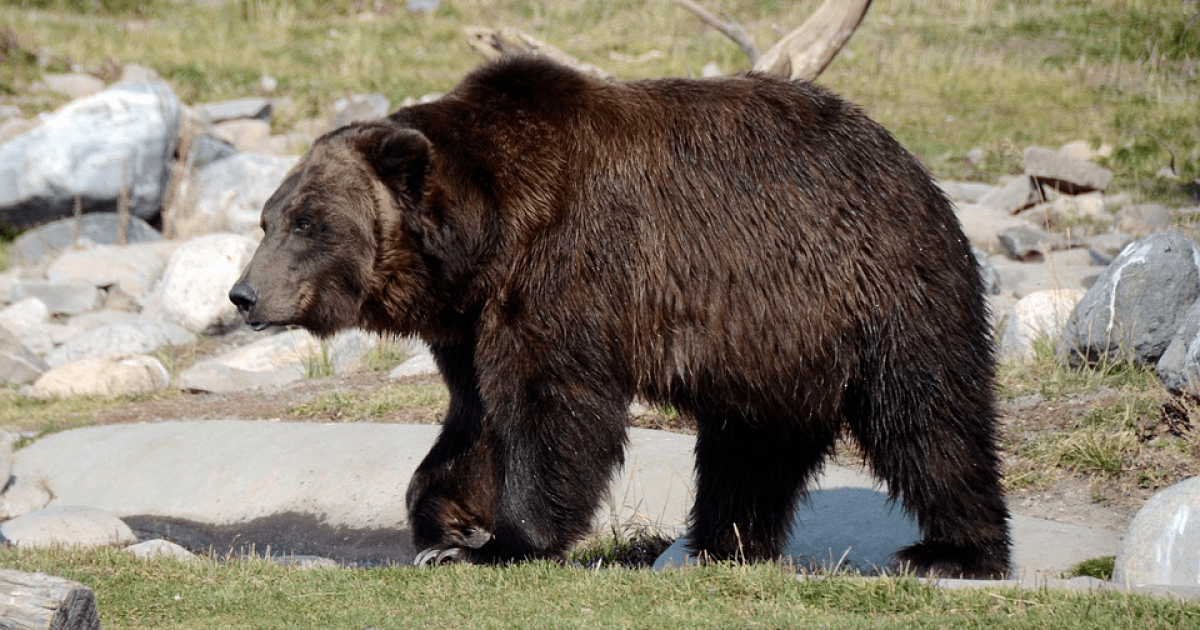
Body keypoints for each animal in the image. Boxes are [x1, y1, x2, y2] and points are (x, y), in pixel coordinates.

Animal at [229, 56, 1008, 578]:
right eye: (269, 217)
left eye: (306, 222)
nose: (243, 295)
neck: (486, 236)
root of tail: (906, 159)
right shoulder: (474, 319)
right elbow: (475, 418)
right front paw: (446, 523)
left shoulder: (568, 267)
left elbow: (553, 410)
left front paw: (506, 540)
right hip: (773, 342)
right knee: (752, 444)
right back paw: (723, 542)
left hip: (879, 285)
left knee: (929, 418)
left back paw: (951, 551)